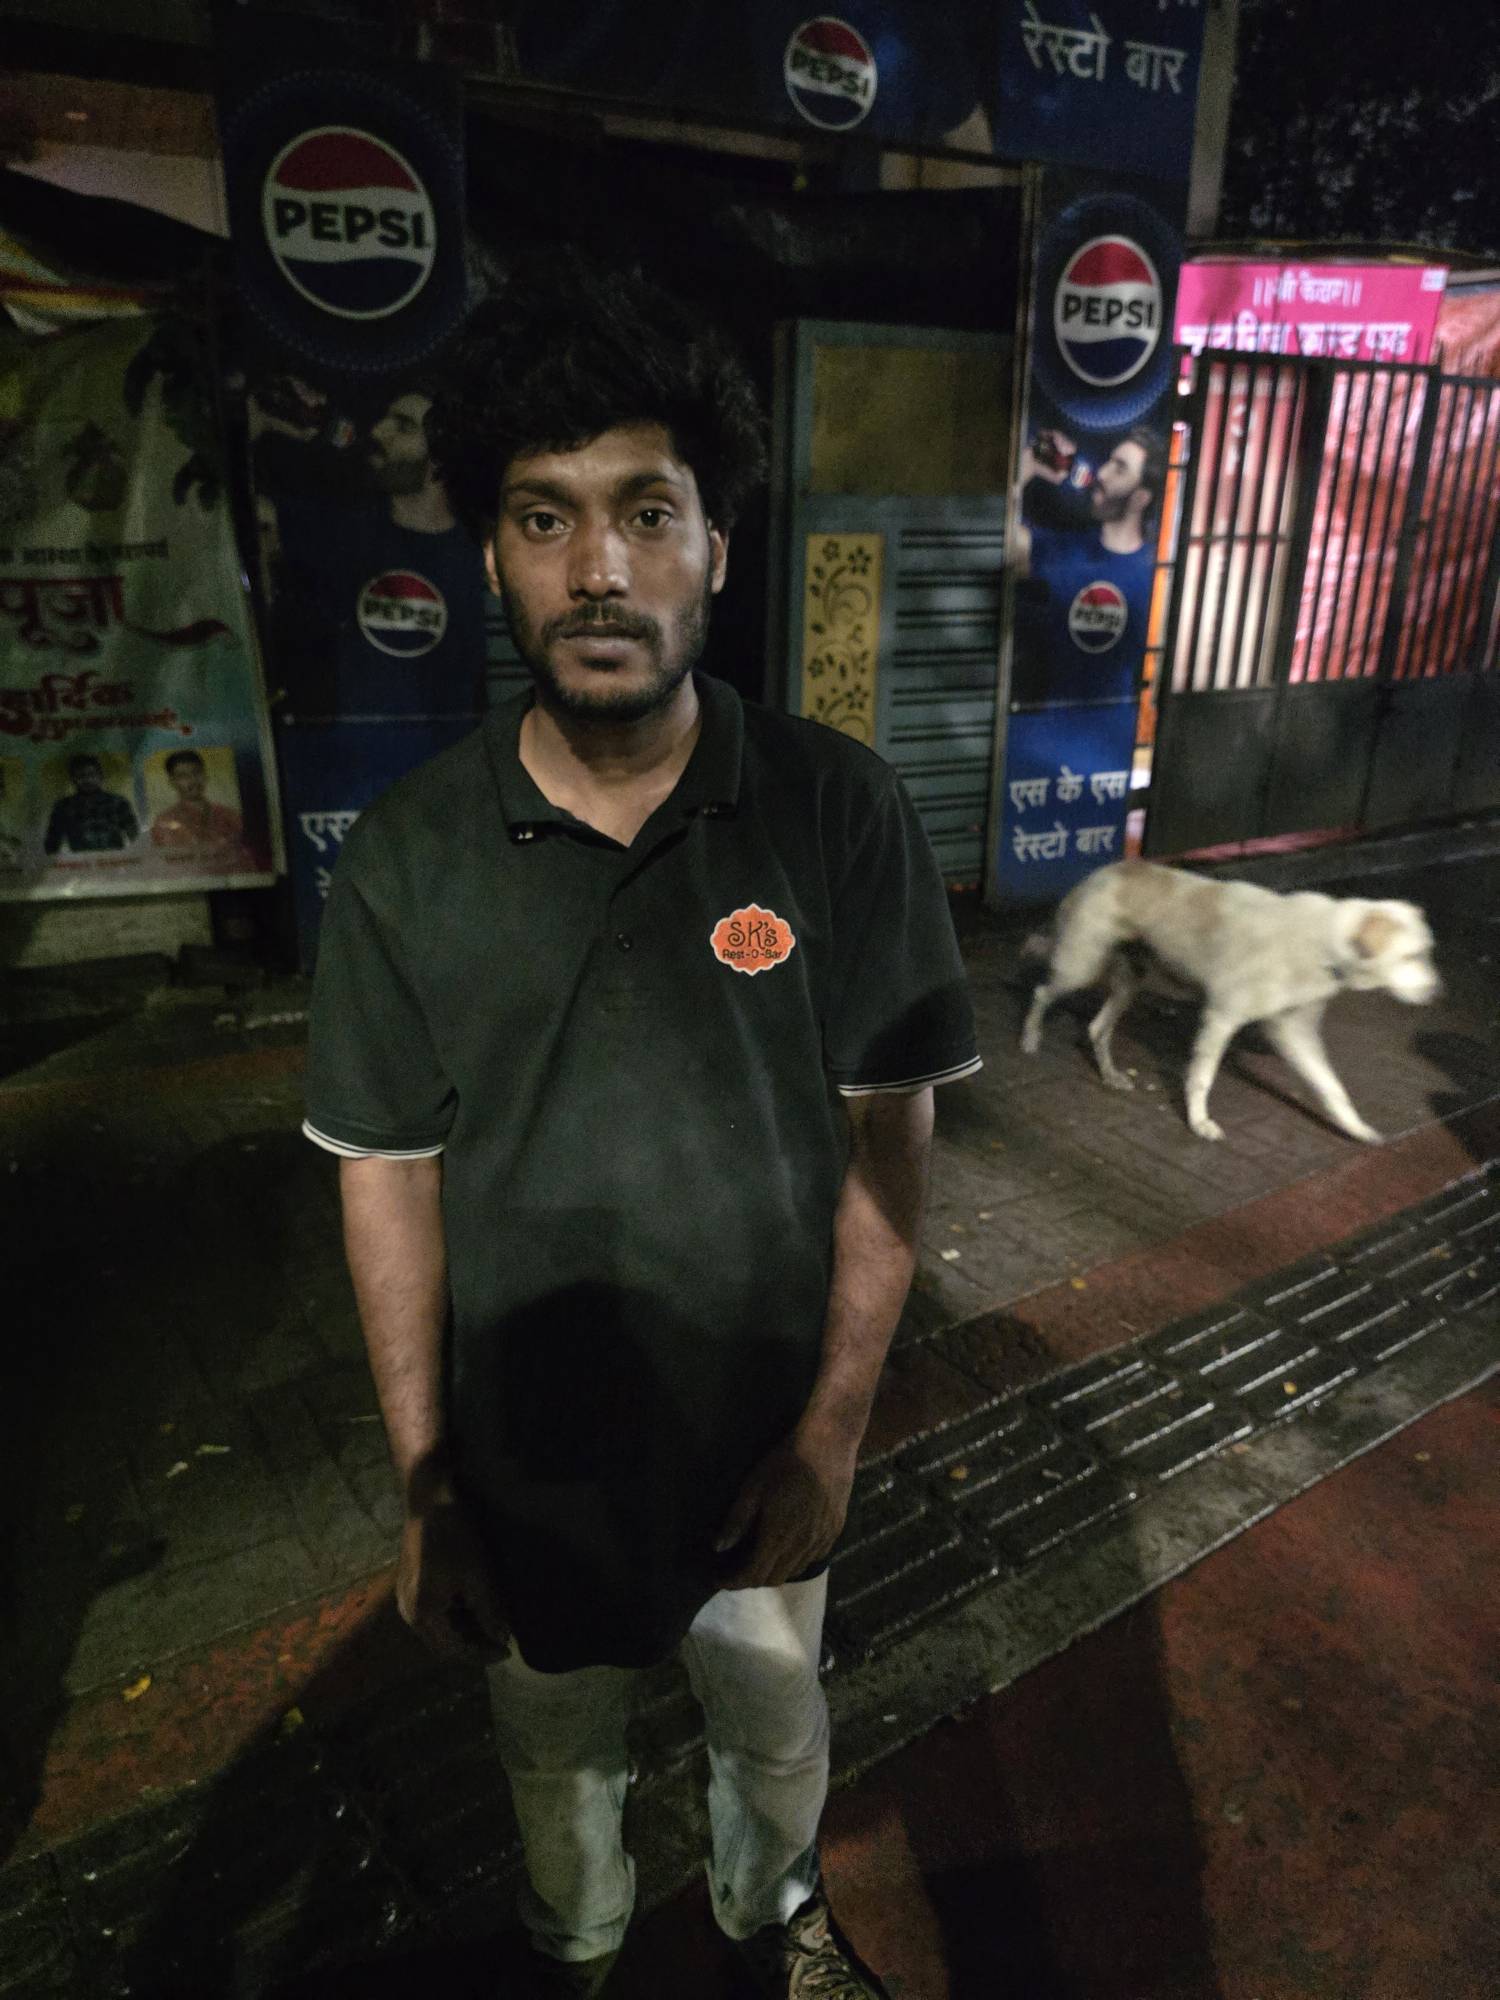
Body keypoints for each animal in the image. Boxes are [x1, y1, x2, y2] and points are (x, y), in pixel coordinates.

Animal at [1020, 860, 1441, 1142]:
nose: (1437, 992)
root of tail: (1101, 870)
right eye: (1410, 956)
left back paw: (1111, 1075)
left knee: (1096, 1028)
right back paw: (1029, 1039)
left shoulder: (1294, 1032)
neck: (1327, 943)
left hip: (1128, 982)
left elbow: (1331, 1087)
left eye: (1426, 953)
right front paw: (1198, 1122)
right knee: (1042, 993)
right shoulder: (1221, 1017)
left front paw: (1355, 1128)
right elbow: (1202, 1078)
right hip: (1080, 965)